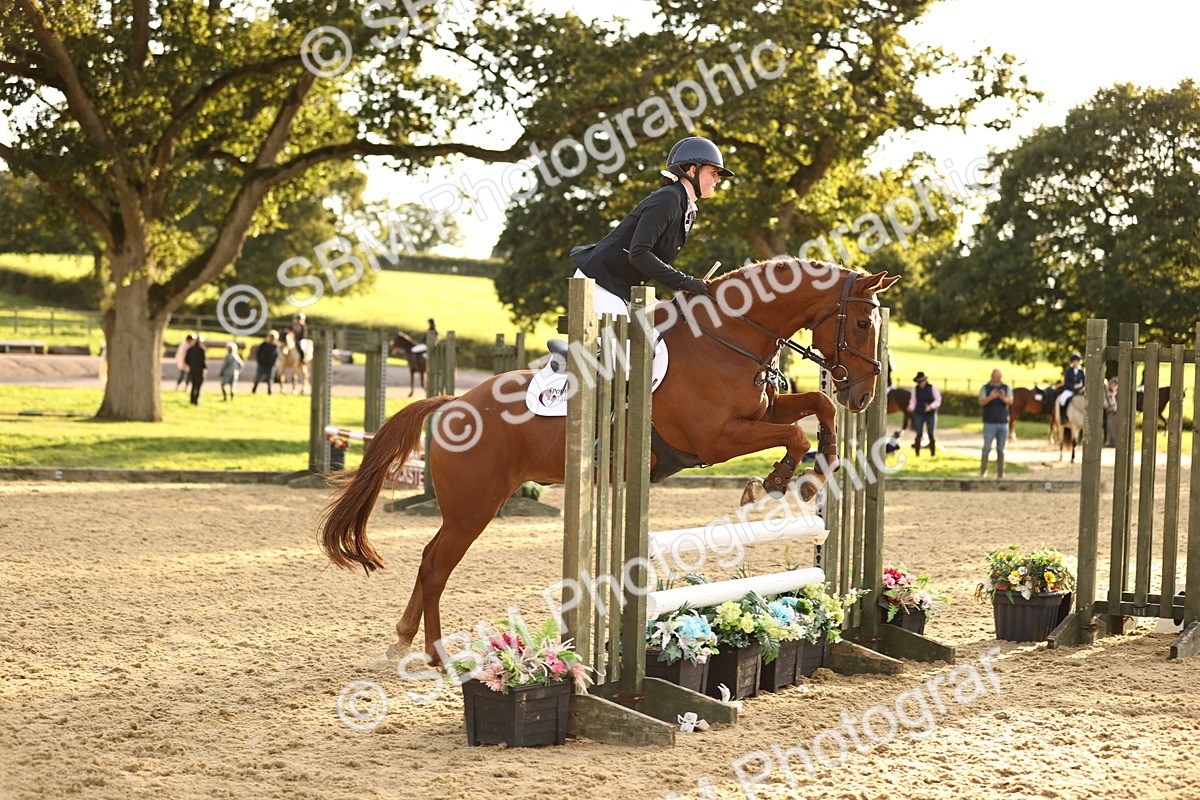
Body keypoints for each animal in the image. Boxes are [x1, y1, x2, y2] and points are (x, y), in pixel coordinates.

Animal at [319, 260, 899, 664]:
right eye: (862, 324)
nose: (865, 396)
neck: (730, 337)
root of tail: (451, 403)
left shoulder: (758, 413)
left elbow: (815, 407)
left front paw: (822, 465)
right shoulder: (715, 439)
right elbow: (793, 434)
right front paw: (776, 482)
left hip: (471, 505)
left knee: (427, 559)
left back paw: (402, 641)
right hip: (473, 507)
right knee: (437, 565)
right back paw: (436, 654)